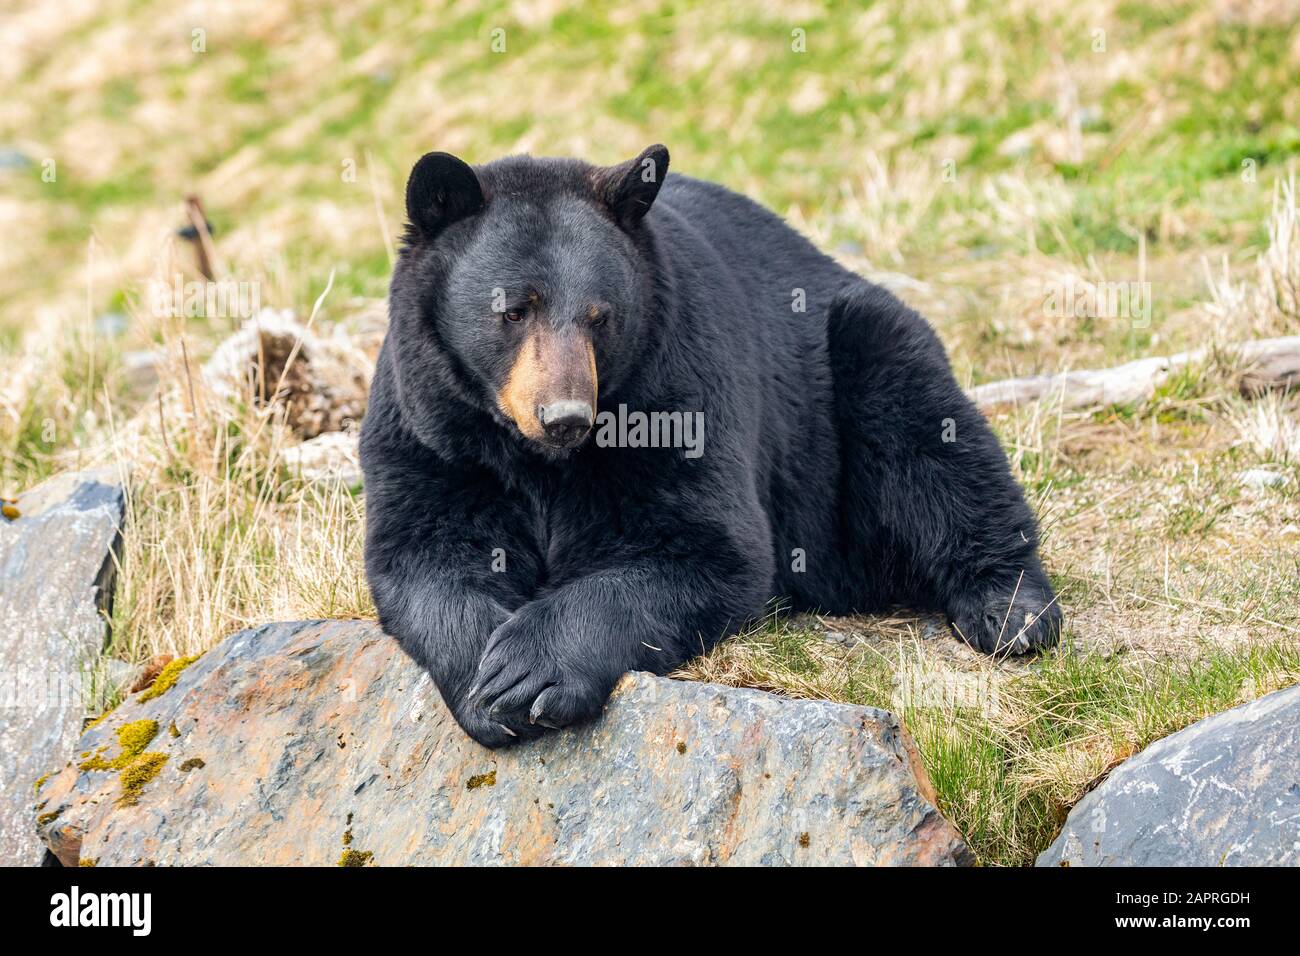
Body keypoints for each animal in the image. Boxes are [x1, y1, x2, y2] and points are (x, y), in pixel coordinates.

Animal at [361, 144, 1061, 749]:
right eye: (513, 310)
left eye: (600, 316)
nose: (565, 417)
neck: (539, 461)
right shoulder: (431, 428)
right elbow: (425, 551)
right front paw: (487, 680)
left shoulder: (678, 388)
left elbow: (709, 547)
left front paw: (531, 671)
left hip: (850, 363)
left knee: (931, 438)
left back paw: (1010, 610)